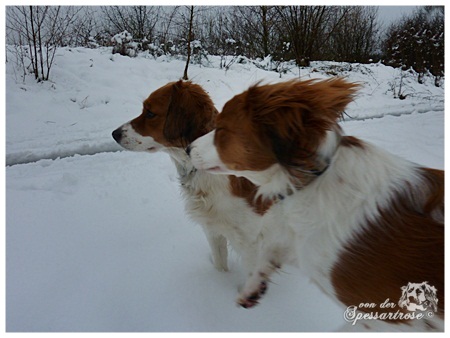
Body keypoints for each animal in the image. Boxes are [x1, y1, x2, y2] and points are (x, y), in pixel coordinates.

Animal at [188, 78, 444, 330]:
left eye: (221, 129)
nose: (189, 148)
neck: (315, 176)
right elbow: (271, 248)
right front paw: (253, 287)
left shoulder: (382, 314)